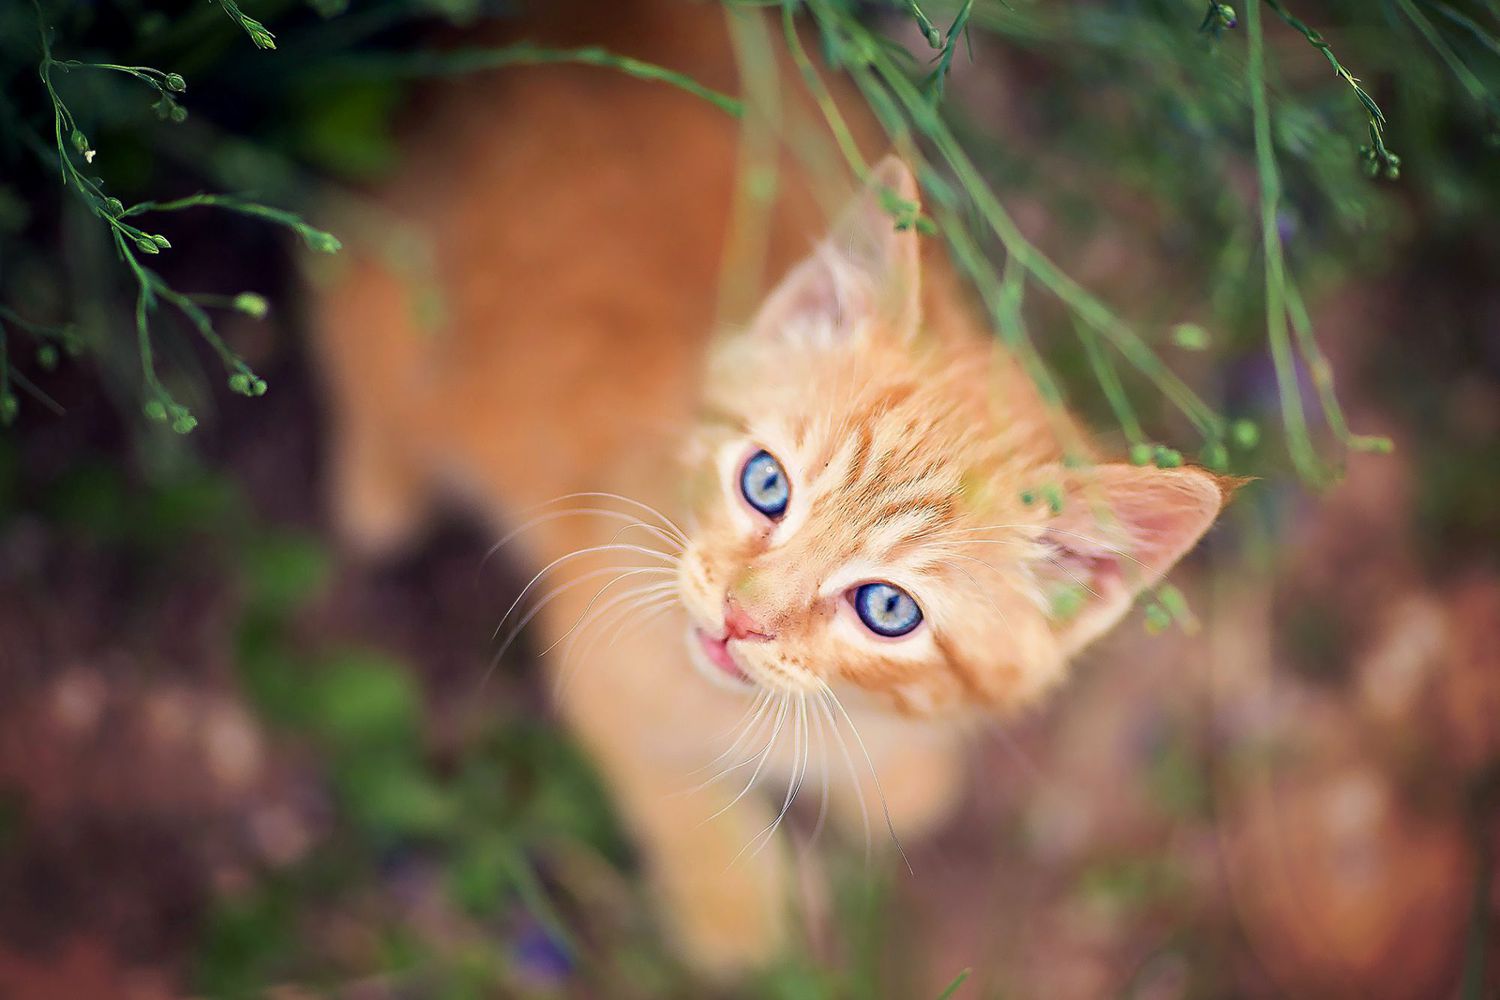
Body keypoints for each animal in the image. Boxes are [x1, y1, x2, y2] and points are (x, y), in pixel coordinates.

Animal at [310, 0, 1224, 971]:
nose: (741, 618)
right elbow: (677, 789)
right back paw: (376, 487)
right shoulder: (603, 658)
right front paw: (733, 912)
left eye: (887, 609)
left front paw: (900, 779)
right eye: (765, 485)